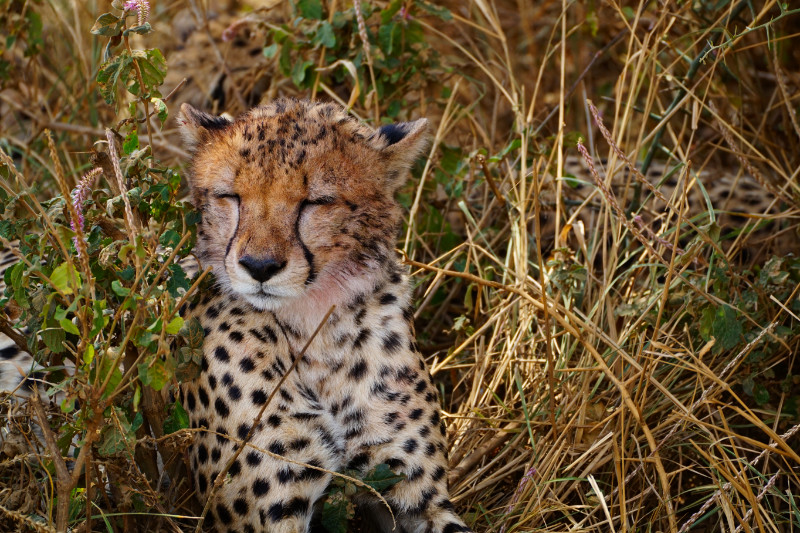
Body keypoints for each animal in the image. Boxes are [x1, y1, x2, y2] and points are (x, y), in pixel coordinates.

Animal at [176, 98, 473, 533]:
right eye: (230, 196)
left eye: (316, 202)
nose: (259, 267)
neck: (312, 324)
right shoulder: (272, 510)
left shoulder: (422, 498)